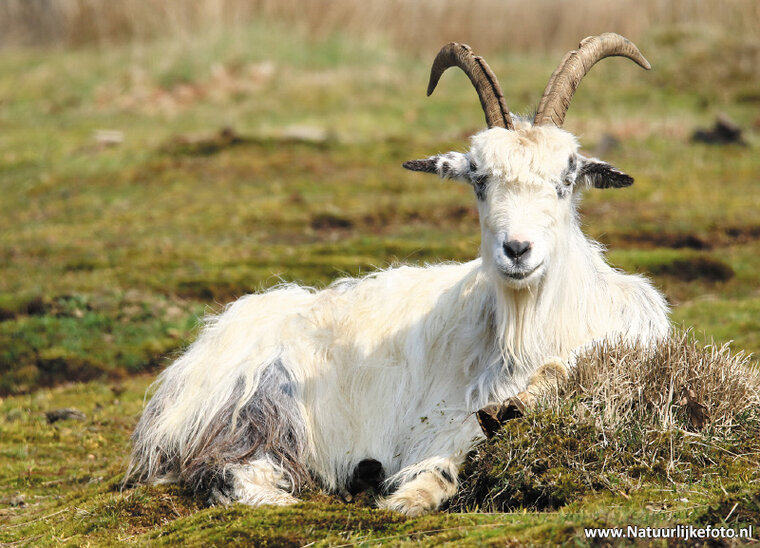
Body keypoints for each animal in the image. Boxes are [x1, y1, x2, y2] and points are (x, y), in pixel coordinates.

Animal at [127, 33, 669, 516]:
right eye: (478, 177)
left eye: (567, 177)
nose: (517, 249)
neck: (532, 328)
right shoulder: (444, 418)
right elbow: (442, 460)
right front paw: (410, 497)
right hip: (259, 401)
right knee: (226, 467)